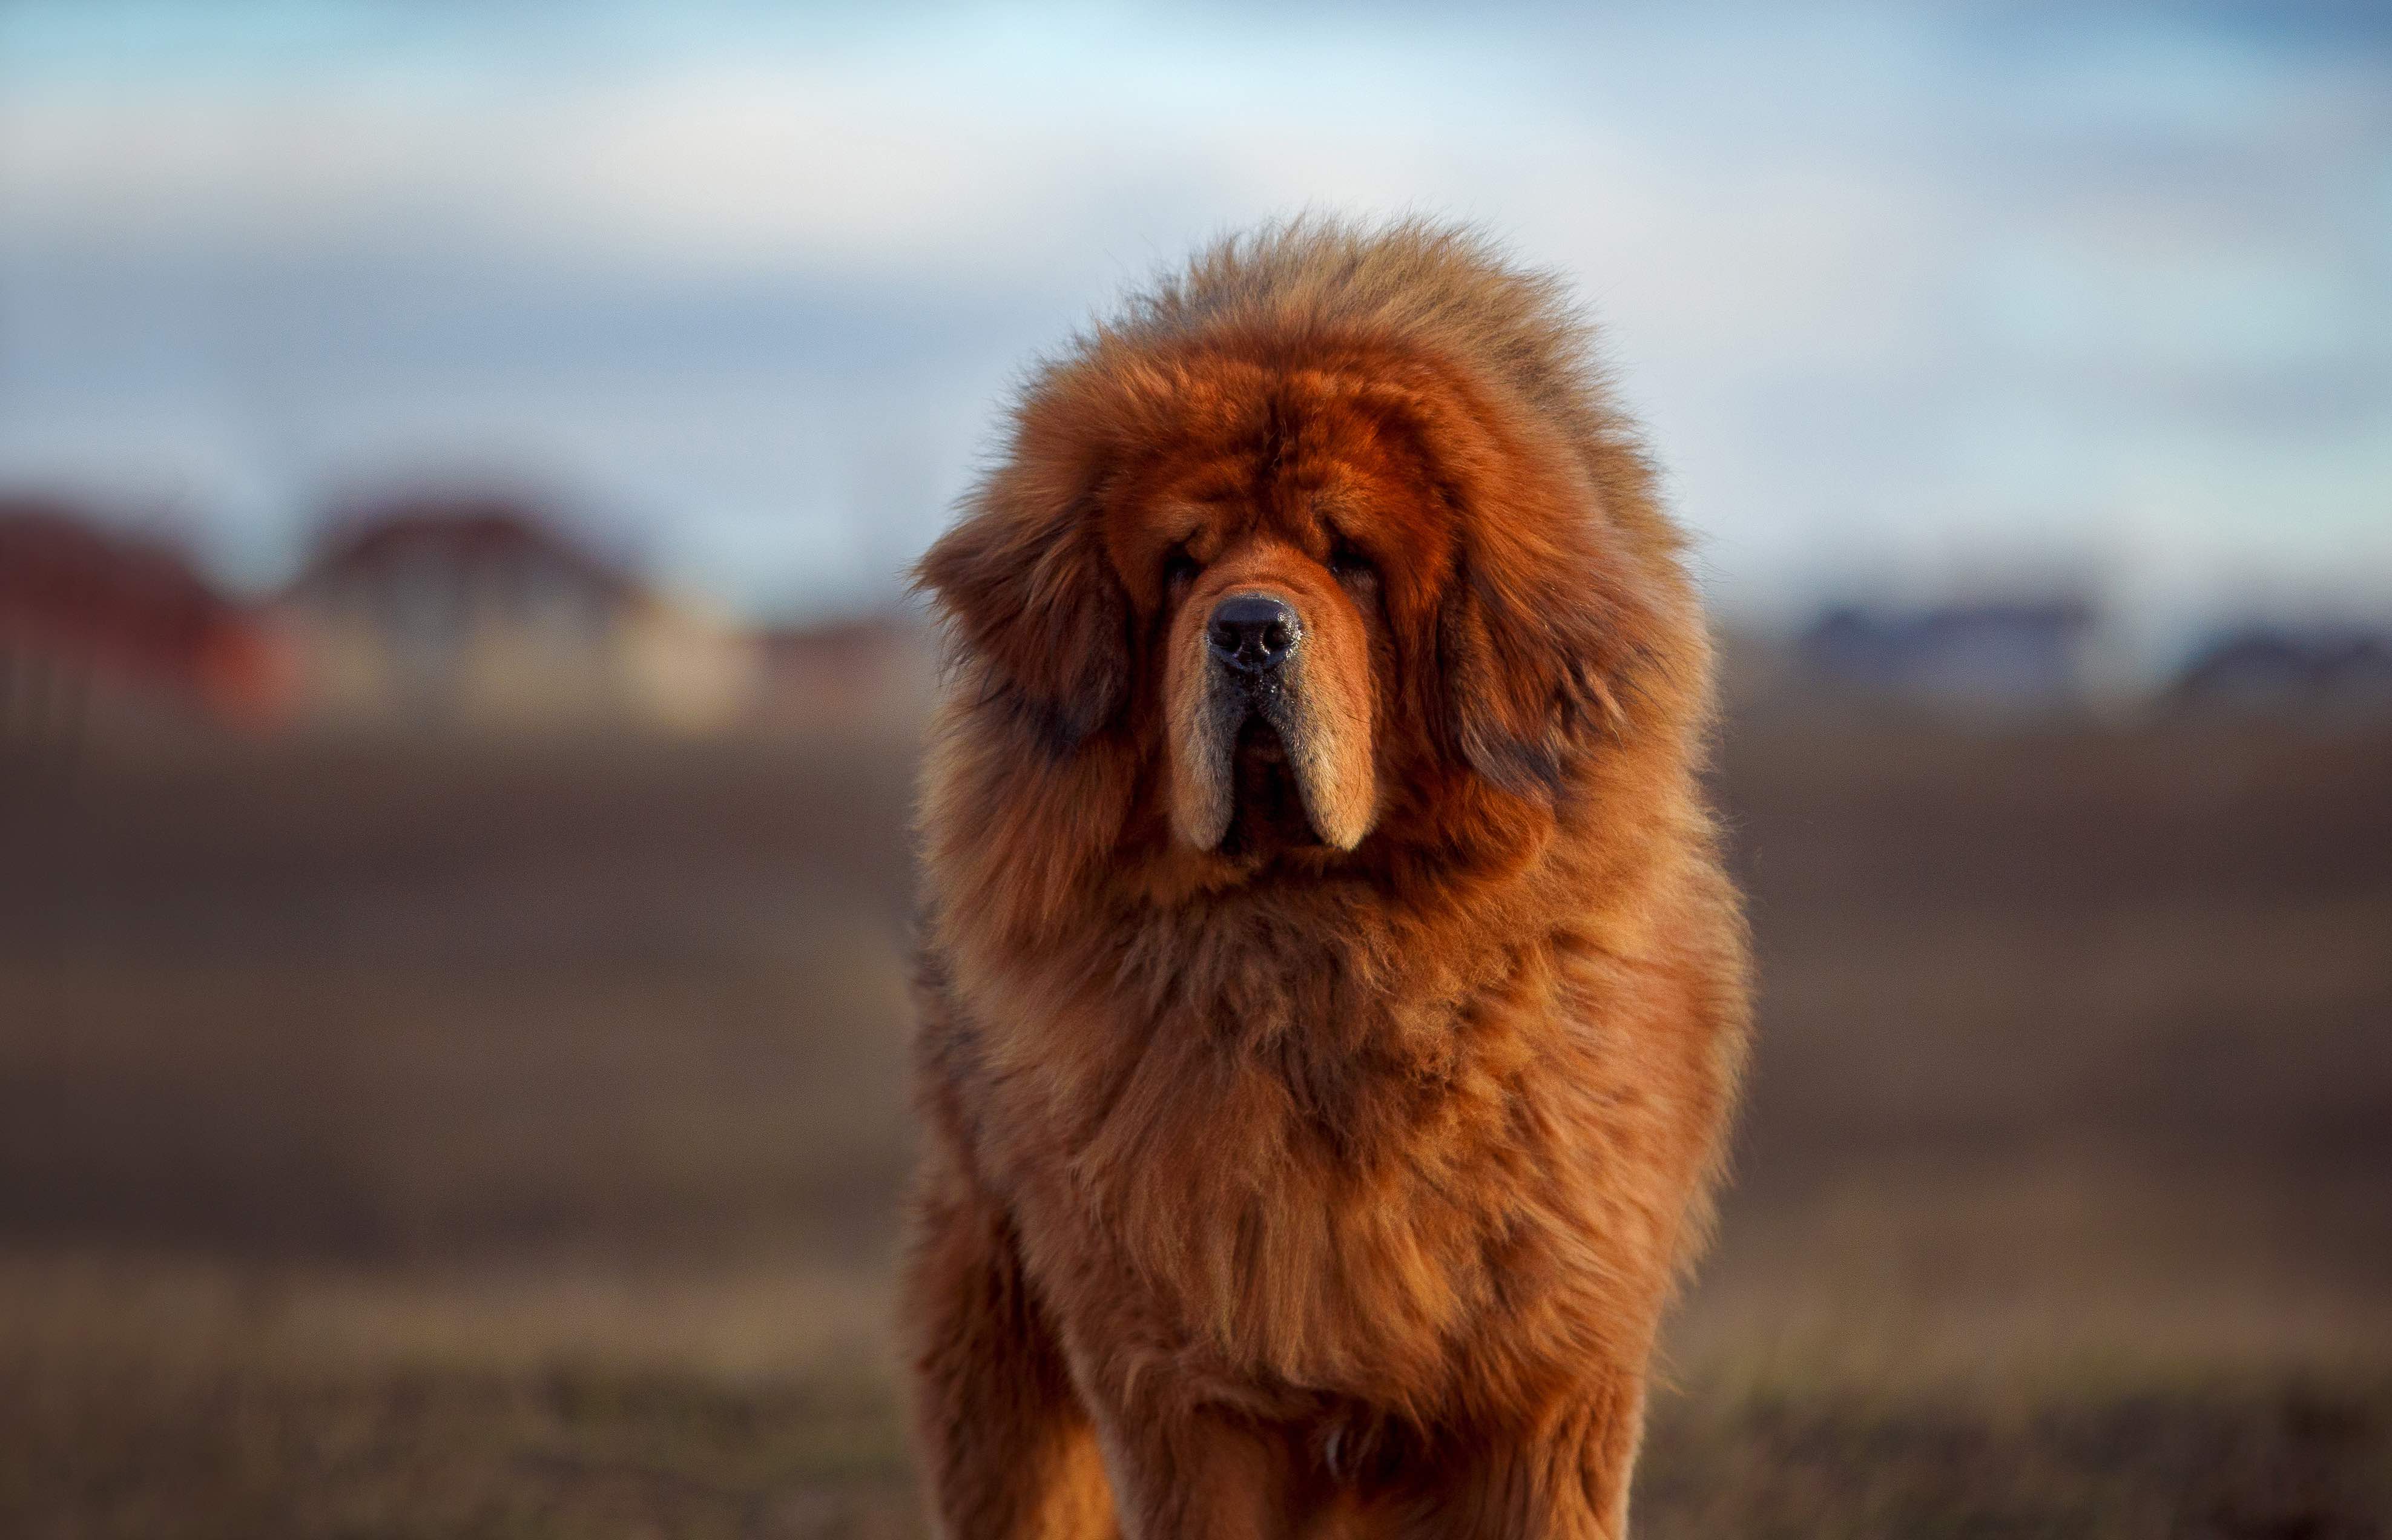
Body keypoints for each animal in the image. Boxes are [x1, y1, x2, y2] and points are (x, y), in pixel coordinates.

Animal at [904, 220, 1751, 1540]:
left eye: (1351, 560)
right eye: (1182, 563)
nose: (1249, 627)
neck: (1319, 953)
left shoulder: (1546, 1379)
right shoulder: (1184, 1387)